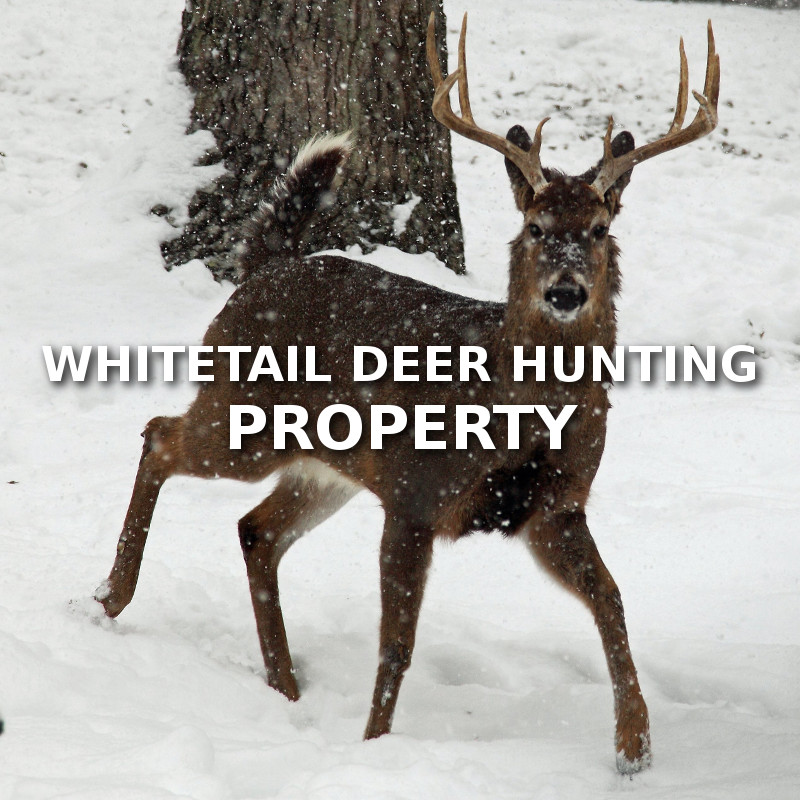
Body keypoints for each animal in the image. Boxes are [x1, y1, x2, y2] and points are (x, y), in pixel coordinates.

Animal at [94, 12, 719, 773]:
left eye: (600, 230)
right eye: (534, 228)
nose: (566, 292)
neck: (509, 410)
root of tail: (264, 268)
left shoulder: (556, 506)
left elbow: (613, 599)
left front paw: (635, 746)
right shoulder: (416, 491)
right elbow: (397, 643)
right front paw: (373, 749)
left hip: (328, 466)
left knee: (255, 529)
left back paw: (286, 685)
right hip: (243, 417)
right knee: (159, 434)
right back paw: (111, 597)